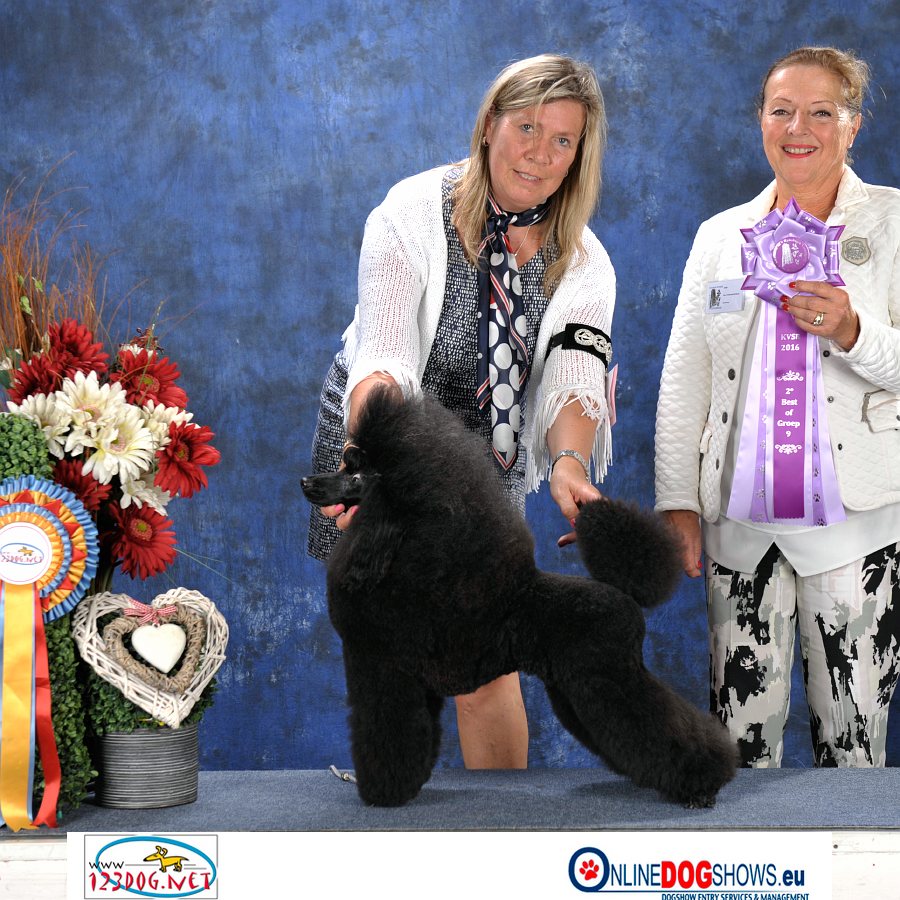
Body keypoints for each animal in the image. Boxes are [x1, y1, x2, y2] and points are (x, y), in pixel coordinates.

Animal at [302, 386, 738, 808]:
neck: (395, 554)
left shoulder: (383, 667)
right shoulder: (411, 679)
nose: (307, 483)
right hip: (574, 687)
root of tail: (622, 596)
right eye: (346, 464)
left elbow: (384, 732)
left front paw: (382, 794)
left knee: (662, 725)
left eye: (356, 474)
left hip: (607, 676)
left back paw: (702, 786)